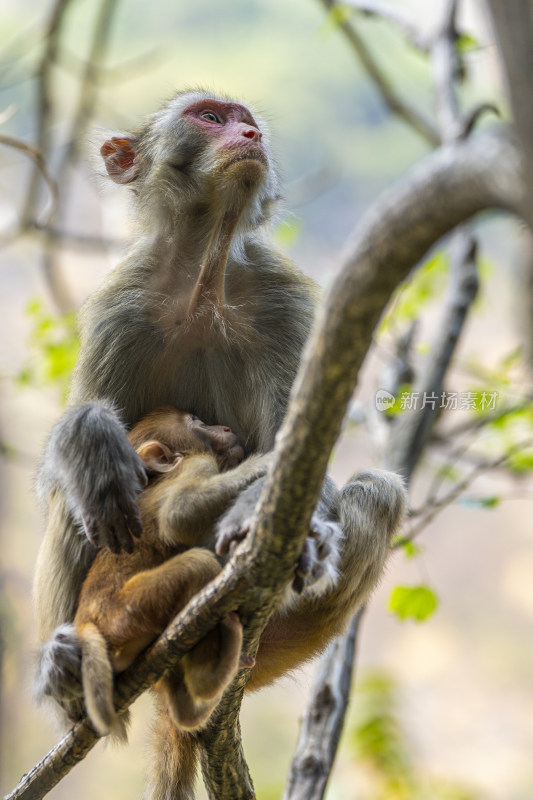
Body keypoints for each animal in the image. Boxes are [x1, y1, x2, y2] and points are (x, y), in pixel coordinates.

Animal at [35, 90, 406, 708]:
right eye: (210, 117)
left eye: (246, 122)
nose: (249, 137)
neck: (205, 276)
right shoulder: (122, 303)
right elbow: (63, 463)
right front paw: (90, 434)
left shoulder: (284, 302)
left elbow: (298, 462)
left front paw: (271, 517)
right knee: (80, 498)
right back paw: (66, 665)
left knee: (378, 491)